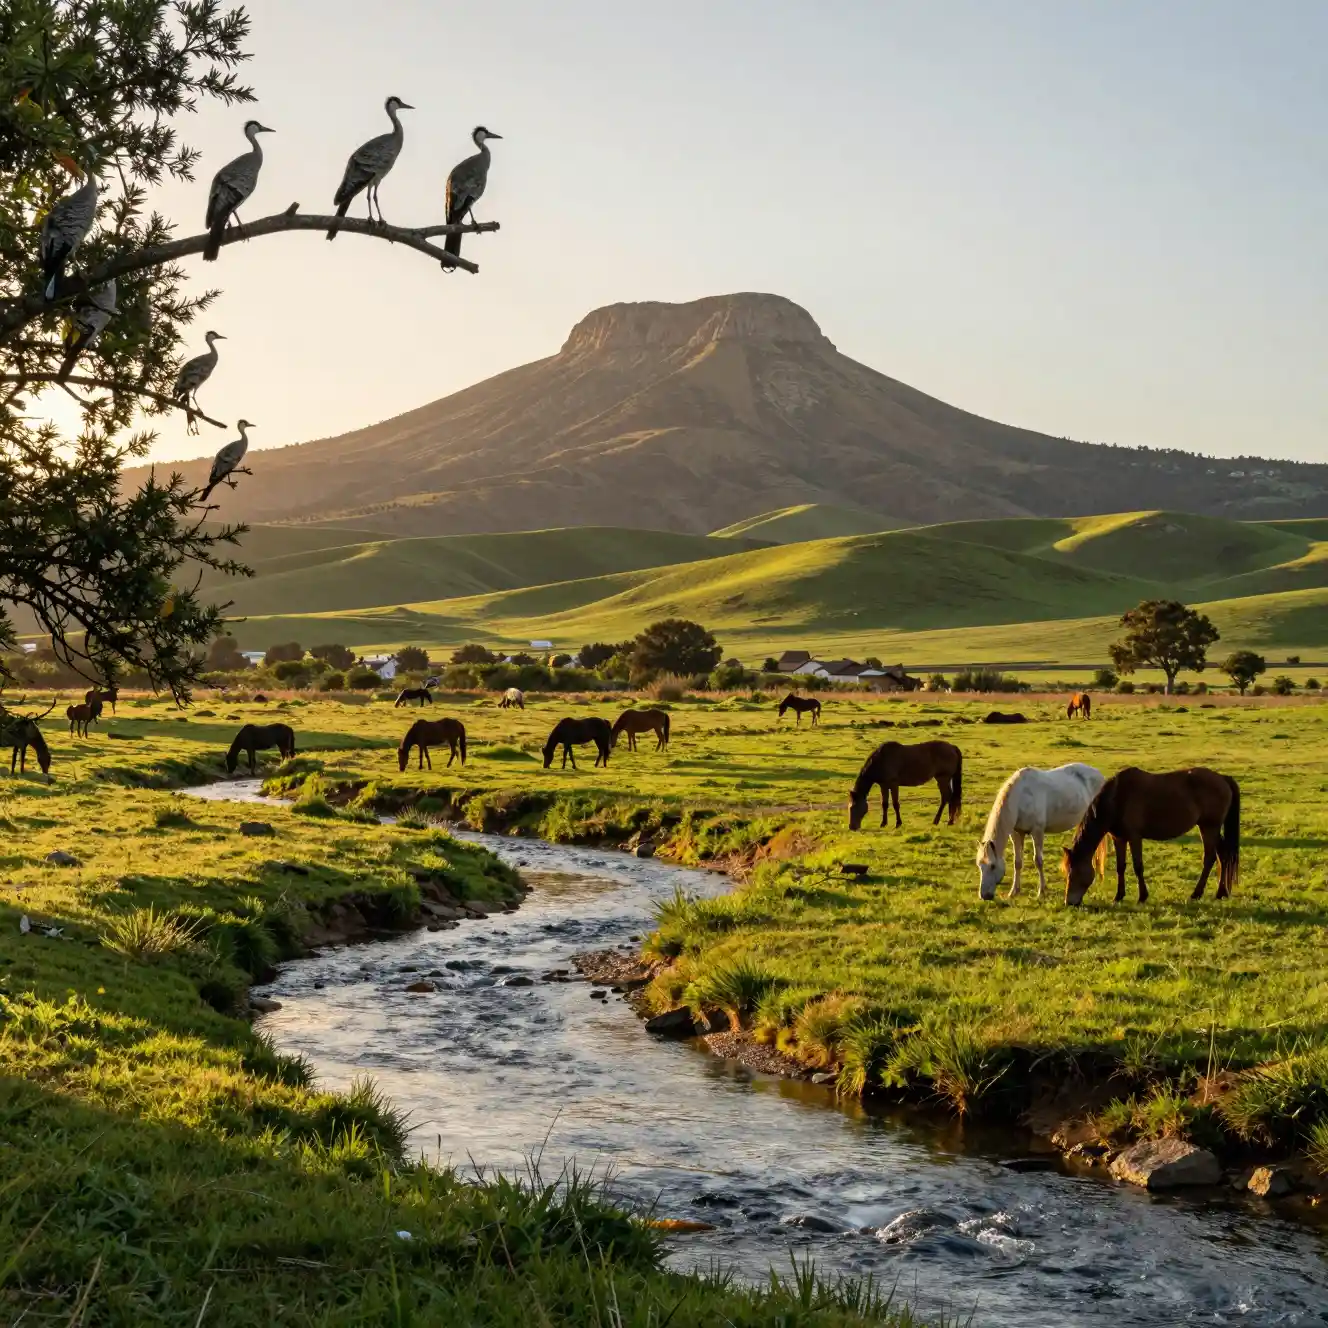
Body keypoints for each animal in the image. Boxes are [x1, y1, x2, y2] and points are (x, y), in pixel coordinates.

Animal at [976, 763, 1105, 900]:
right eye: (979, 865)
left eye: (992, 866)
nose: (984, 896)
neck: (1021, 798)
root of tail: (1099, 774)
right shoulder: (1017, 833)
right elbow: (1017, 862)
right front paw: (1014, 891)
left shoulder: (1037, 831)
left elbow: (1038, 861)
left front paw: (1041, 891)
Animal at [1062, 767, 1240, 906]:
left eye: (1074, 873)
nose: (1069, 902)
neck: (1117, 798)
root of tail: (1222, 778)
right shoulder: (1119, 838)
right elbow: (1120, 867)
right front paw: (1118, 896)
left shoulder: (1134, 837)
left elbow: (1138, 866)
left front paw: (1142, 896)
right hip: (1211, 828)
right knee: (1223, 855)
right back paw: (1221, 893)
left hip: (1209, 827)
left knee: (1210, 858)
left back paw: (1197, 893)